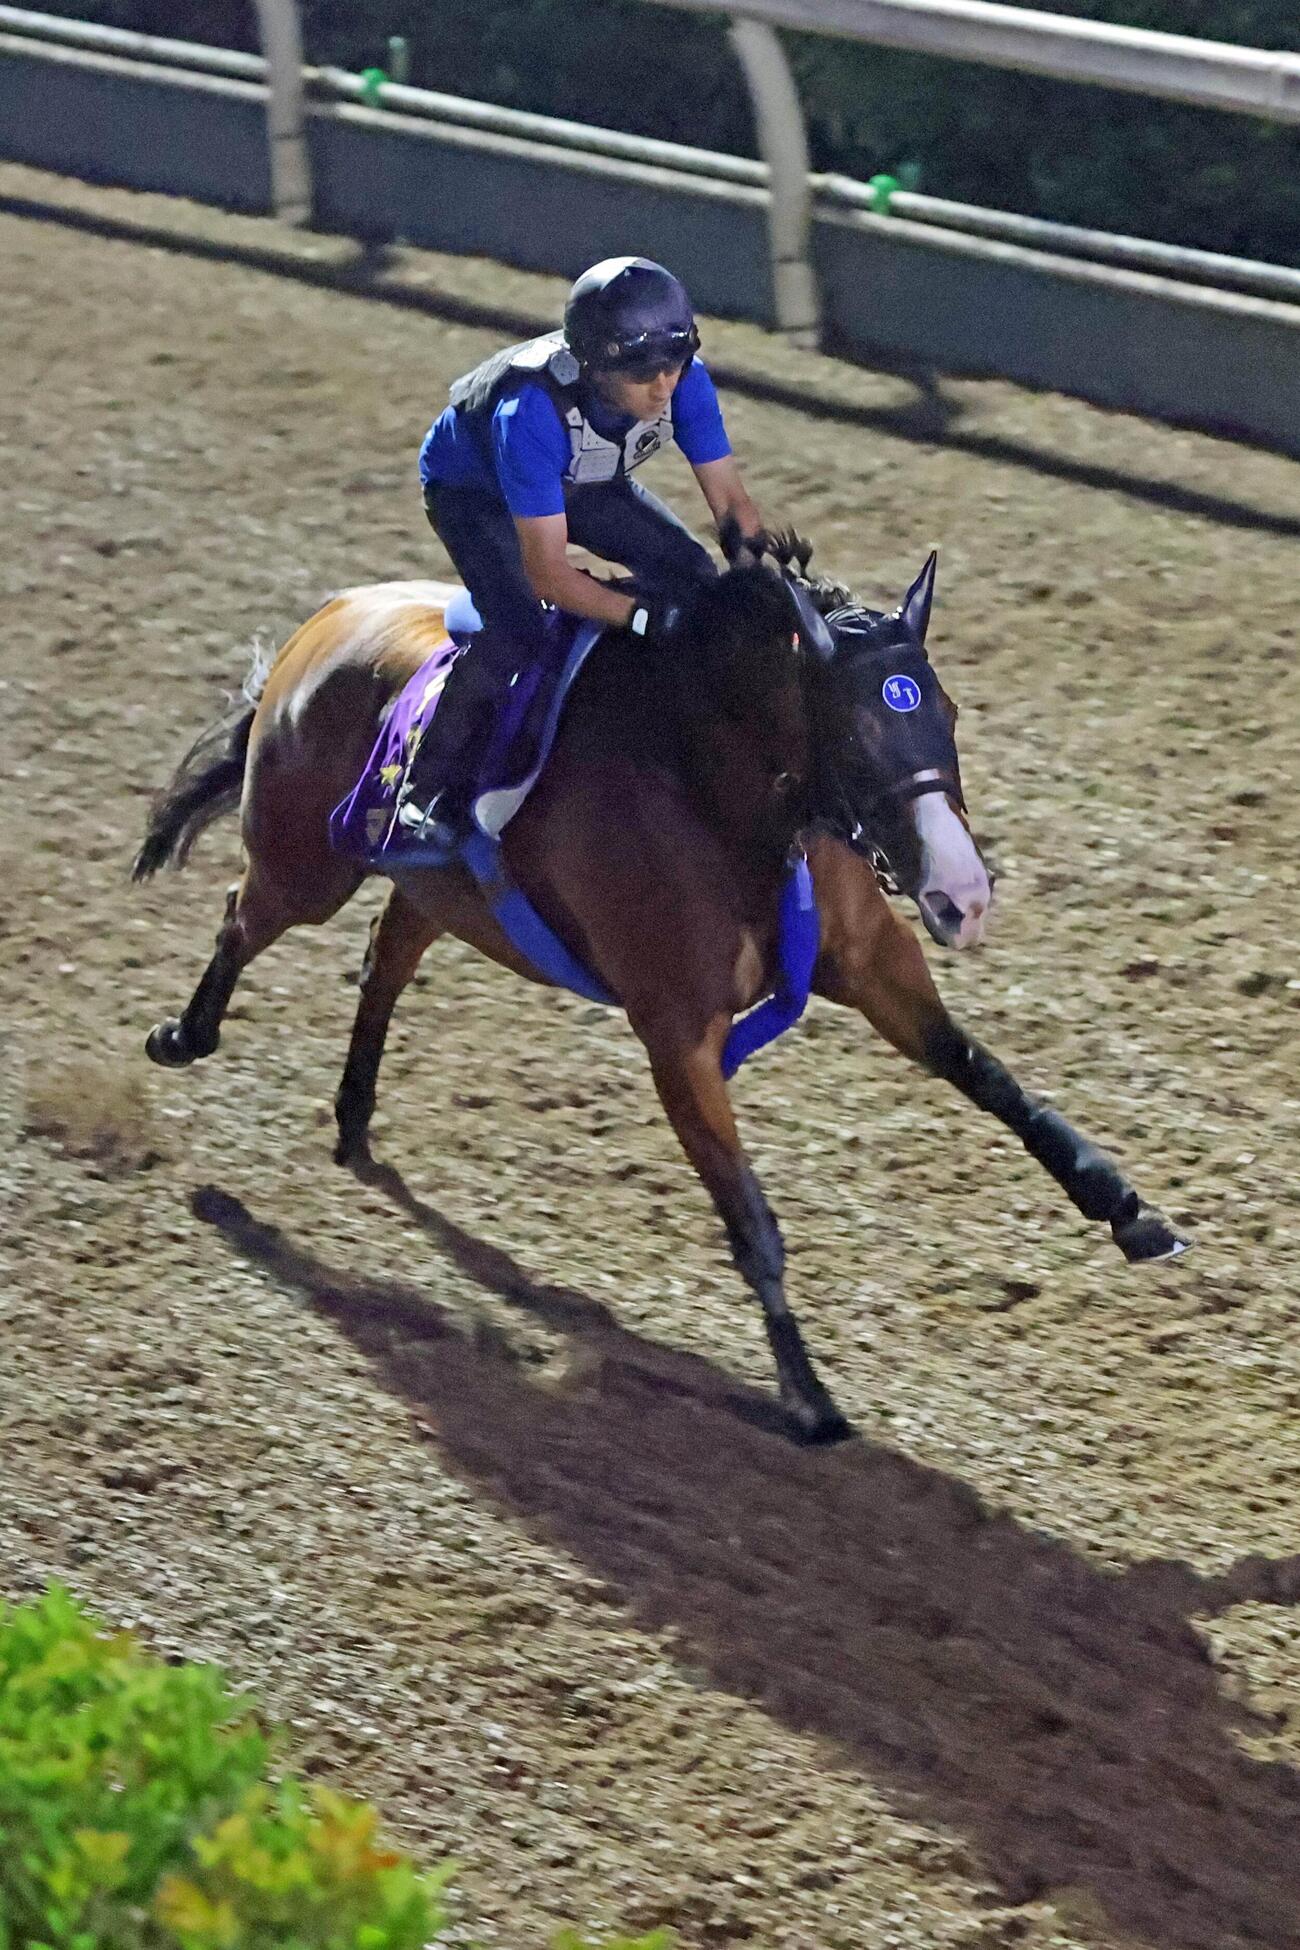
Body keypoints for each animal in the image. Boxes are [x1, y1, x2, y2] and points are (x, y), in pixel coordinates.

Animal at [134, 536, 1187, 1442]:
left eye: (948, 713)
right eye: (854, 731)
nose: (964, 898)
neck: (721, 794)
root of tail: (327, 619)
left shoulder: (877, 968)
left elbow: (991, 1076)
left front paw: (1127, 1208)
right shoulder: (679, 1037)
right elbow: (751, 1219)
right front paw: (806, 1395)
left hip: (436, 889)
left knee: (386, 959)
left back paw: (353, 1118)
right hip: (306, 868)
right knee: (242, 919)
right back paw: (184, 1039)